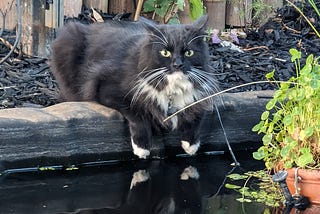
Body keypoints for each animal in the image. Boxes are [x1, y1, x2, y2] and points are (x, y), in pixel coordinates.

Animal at [50, 15, 220, 159]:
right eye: (165, 52)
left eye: (189, 52)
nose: (178, 64)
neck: (172, 91)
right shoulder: (106, 88)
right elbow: (137, 113)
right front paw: (142, 147)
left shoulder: (200, 97)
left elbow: (197, 115)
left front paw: (190, 144)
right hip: (68, 40)